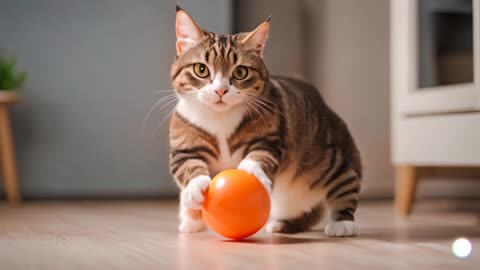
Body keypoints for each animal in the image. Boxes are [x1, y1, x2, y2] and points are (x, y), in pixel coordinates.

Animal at [169, 5, 360, 236]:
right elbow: (187, 165)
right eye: (201, 69)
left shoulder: (270, 136)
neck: (220, 117)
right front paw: (195, 191)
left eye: (240, 72)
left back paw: (343, 223)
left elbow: (261, 153)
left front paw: (252, 171)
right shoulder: (184, 144)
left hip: (327, 161)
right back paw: (282, 224)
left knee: (345, 183)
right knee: (310, 212)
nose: (221, 90)